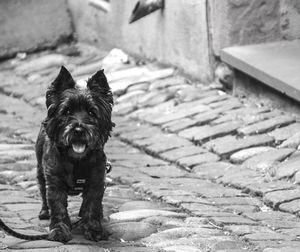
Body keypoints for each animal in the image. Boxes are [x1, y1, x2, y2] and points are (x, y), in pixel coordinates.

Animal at [35, 66, 114, 242]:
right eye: (67, 111)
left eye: (92, 112)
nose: (78, 130)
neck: (76, 160)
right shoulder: (54, 182)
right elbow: (57, 206)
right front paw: (59, 229)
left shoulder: (96, 181)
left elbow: (92, 205)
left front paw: (94, 229)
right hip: (40, 170)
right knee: (42, 190)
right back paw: (44, 212)